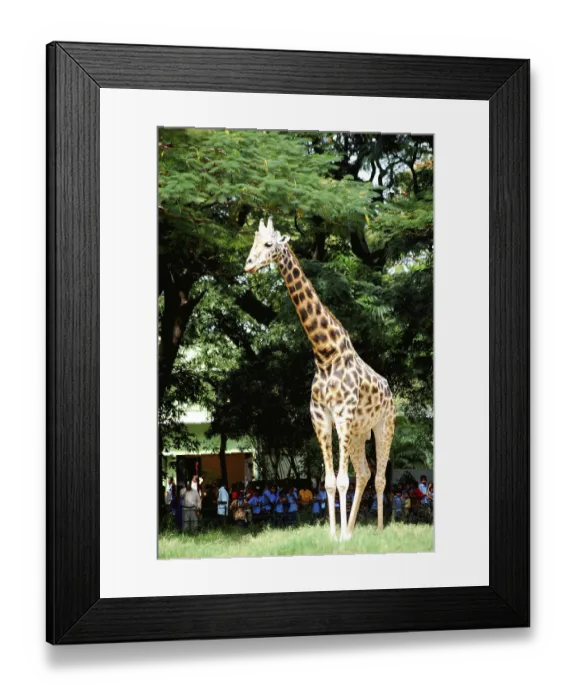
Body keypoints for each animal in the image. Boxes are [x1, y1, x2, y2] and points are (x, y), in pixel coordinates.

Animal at [244, 218, 395, 541]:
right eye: (253, 242)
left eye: (268, 244)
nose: (248, 265)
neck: (325, 353)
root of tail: (389, 389)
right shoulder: (320, 417)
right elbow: (328, 481)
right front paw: (334, 535)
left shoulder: (343, 415)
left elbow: (341, 480)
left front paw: (342, 538)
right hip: (359, 432)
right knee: (364, 473)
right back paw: (352, 529)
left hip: (384, 425)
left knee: (378, 478)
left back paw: (377, 530)